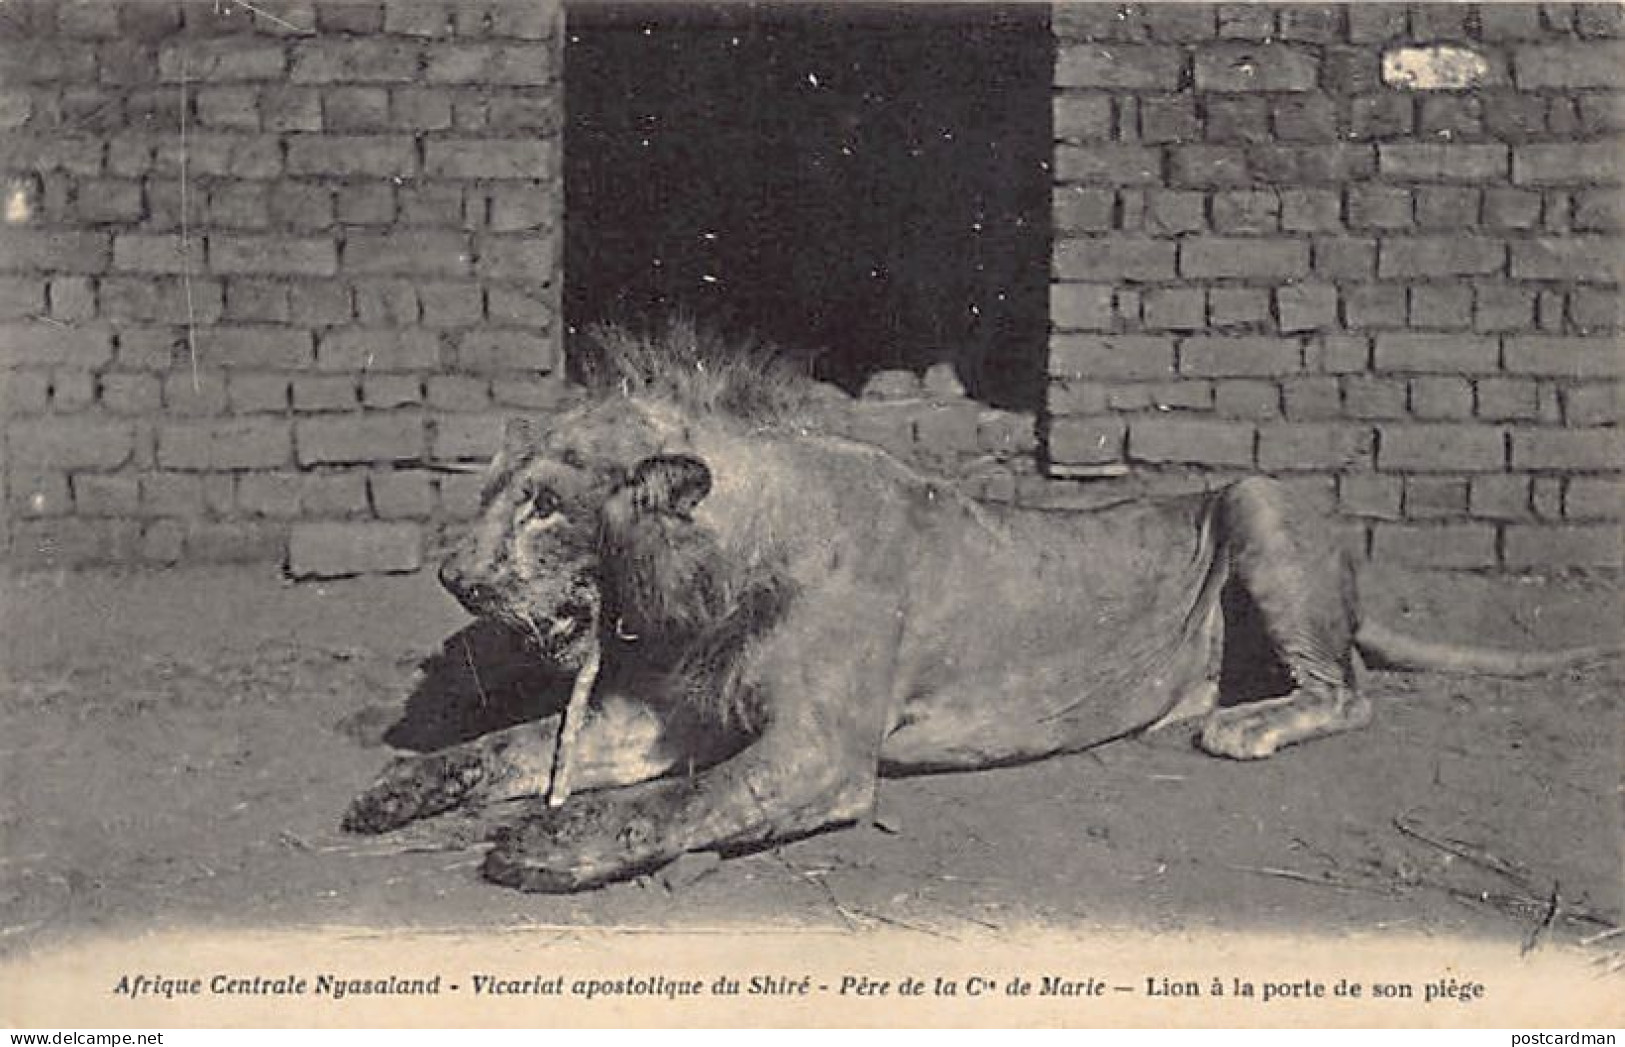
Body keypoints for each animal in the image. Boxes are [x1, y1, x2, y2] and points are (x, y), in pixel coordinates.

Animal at [344, 326, 1617, 892]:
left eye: (545, 506)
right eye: (499, 485)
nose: (456, 581)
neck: (710, 575)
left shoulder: (817, 754)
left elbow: (678, 805)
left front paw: (548, 845)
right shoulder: (659, 715)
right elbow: (515, 745)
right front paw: (399, 788)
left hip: (1255, 498)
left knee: (1347, 692)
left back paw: (1243, 725)